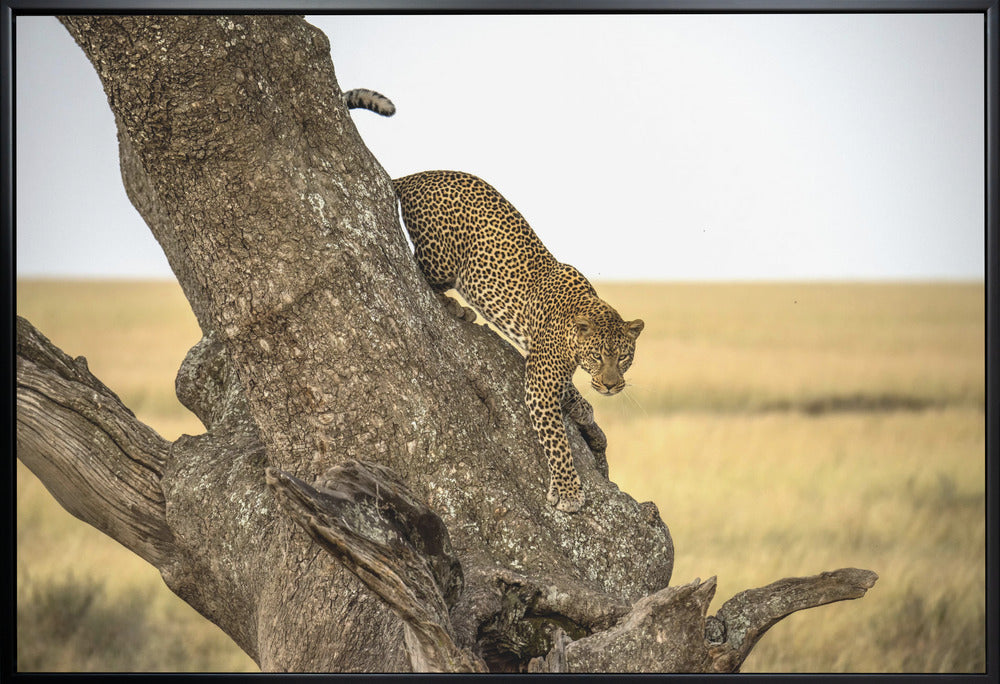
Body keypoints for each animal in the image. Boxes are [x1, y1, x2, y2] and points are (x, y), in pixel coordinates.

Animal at [393, 170, 644, 513]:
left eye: (623, 358)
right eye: (597, 356)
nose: (610, 386)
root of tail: (415, 176)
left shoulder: (545, 365)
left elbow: (569, 390)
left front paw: (581, 408)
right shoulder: (540, 381)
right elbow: (557, 441)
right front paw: (568, 492)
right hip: (441, 258)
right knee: (421, 271)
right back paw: (457, 308)